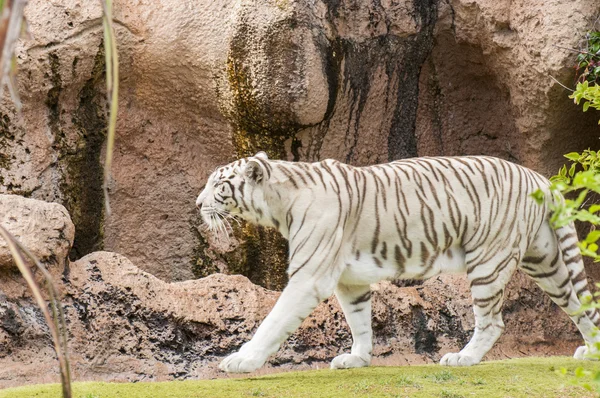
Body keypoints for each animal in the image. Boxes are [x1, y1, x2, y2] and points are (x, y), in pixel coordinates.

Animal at [196, 152, 596, 374]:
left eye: (219, 185)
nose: (198, 204)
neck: (278, 203)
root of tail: (538, 176)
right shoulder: (350, 280)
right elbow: (359, 322)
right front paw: (357, 359)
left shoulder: (309, 277)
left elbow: (273, 322)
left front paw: (241, 361)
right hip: (547, 262)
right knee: (582, 305)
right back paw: (592, 352)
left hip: (488, 260)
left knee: (492, 322)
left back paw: (463, 358)